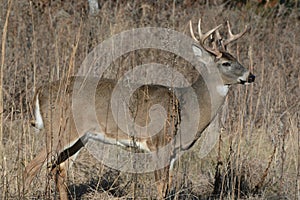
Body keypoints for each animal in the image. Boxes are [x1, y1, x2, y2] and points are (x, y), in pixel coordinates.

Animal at [22, 18, 255, 198]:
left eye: (236, 58)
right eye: (225, 63)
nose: (250, 75)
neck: (187, 106)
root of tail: (40, 91)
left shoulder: (173, 152)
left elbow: (168, 187)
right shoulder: (159, 143)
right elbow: (161, 187)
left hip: (80, 138)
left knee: (58, 170)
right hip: (59, 130)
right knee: (31, 167)